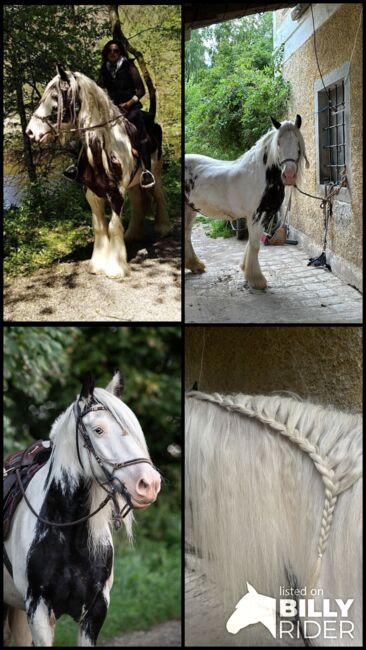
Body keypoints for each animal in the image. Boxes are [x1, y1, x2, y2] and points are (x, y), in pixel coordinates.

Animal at [186, 116, 308, 288]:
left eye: (297, 143)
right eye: (278, 143)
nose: (289, 175)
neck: (259, 176)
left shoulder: (265, 215)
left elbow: (251, 243)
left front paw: (246, 269)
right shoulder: (256, 215)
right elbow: (255, 245)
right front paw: (256, 279)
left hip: (190, 209)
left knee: (187, 235)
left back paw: (195, 265)